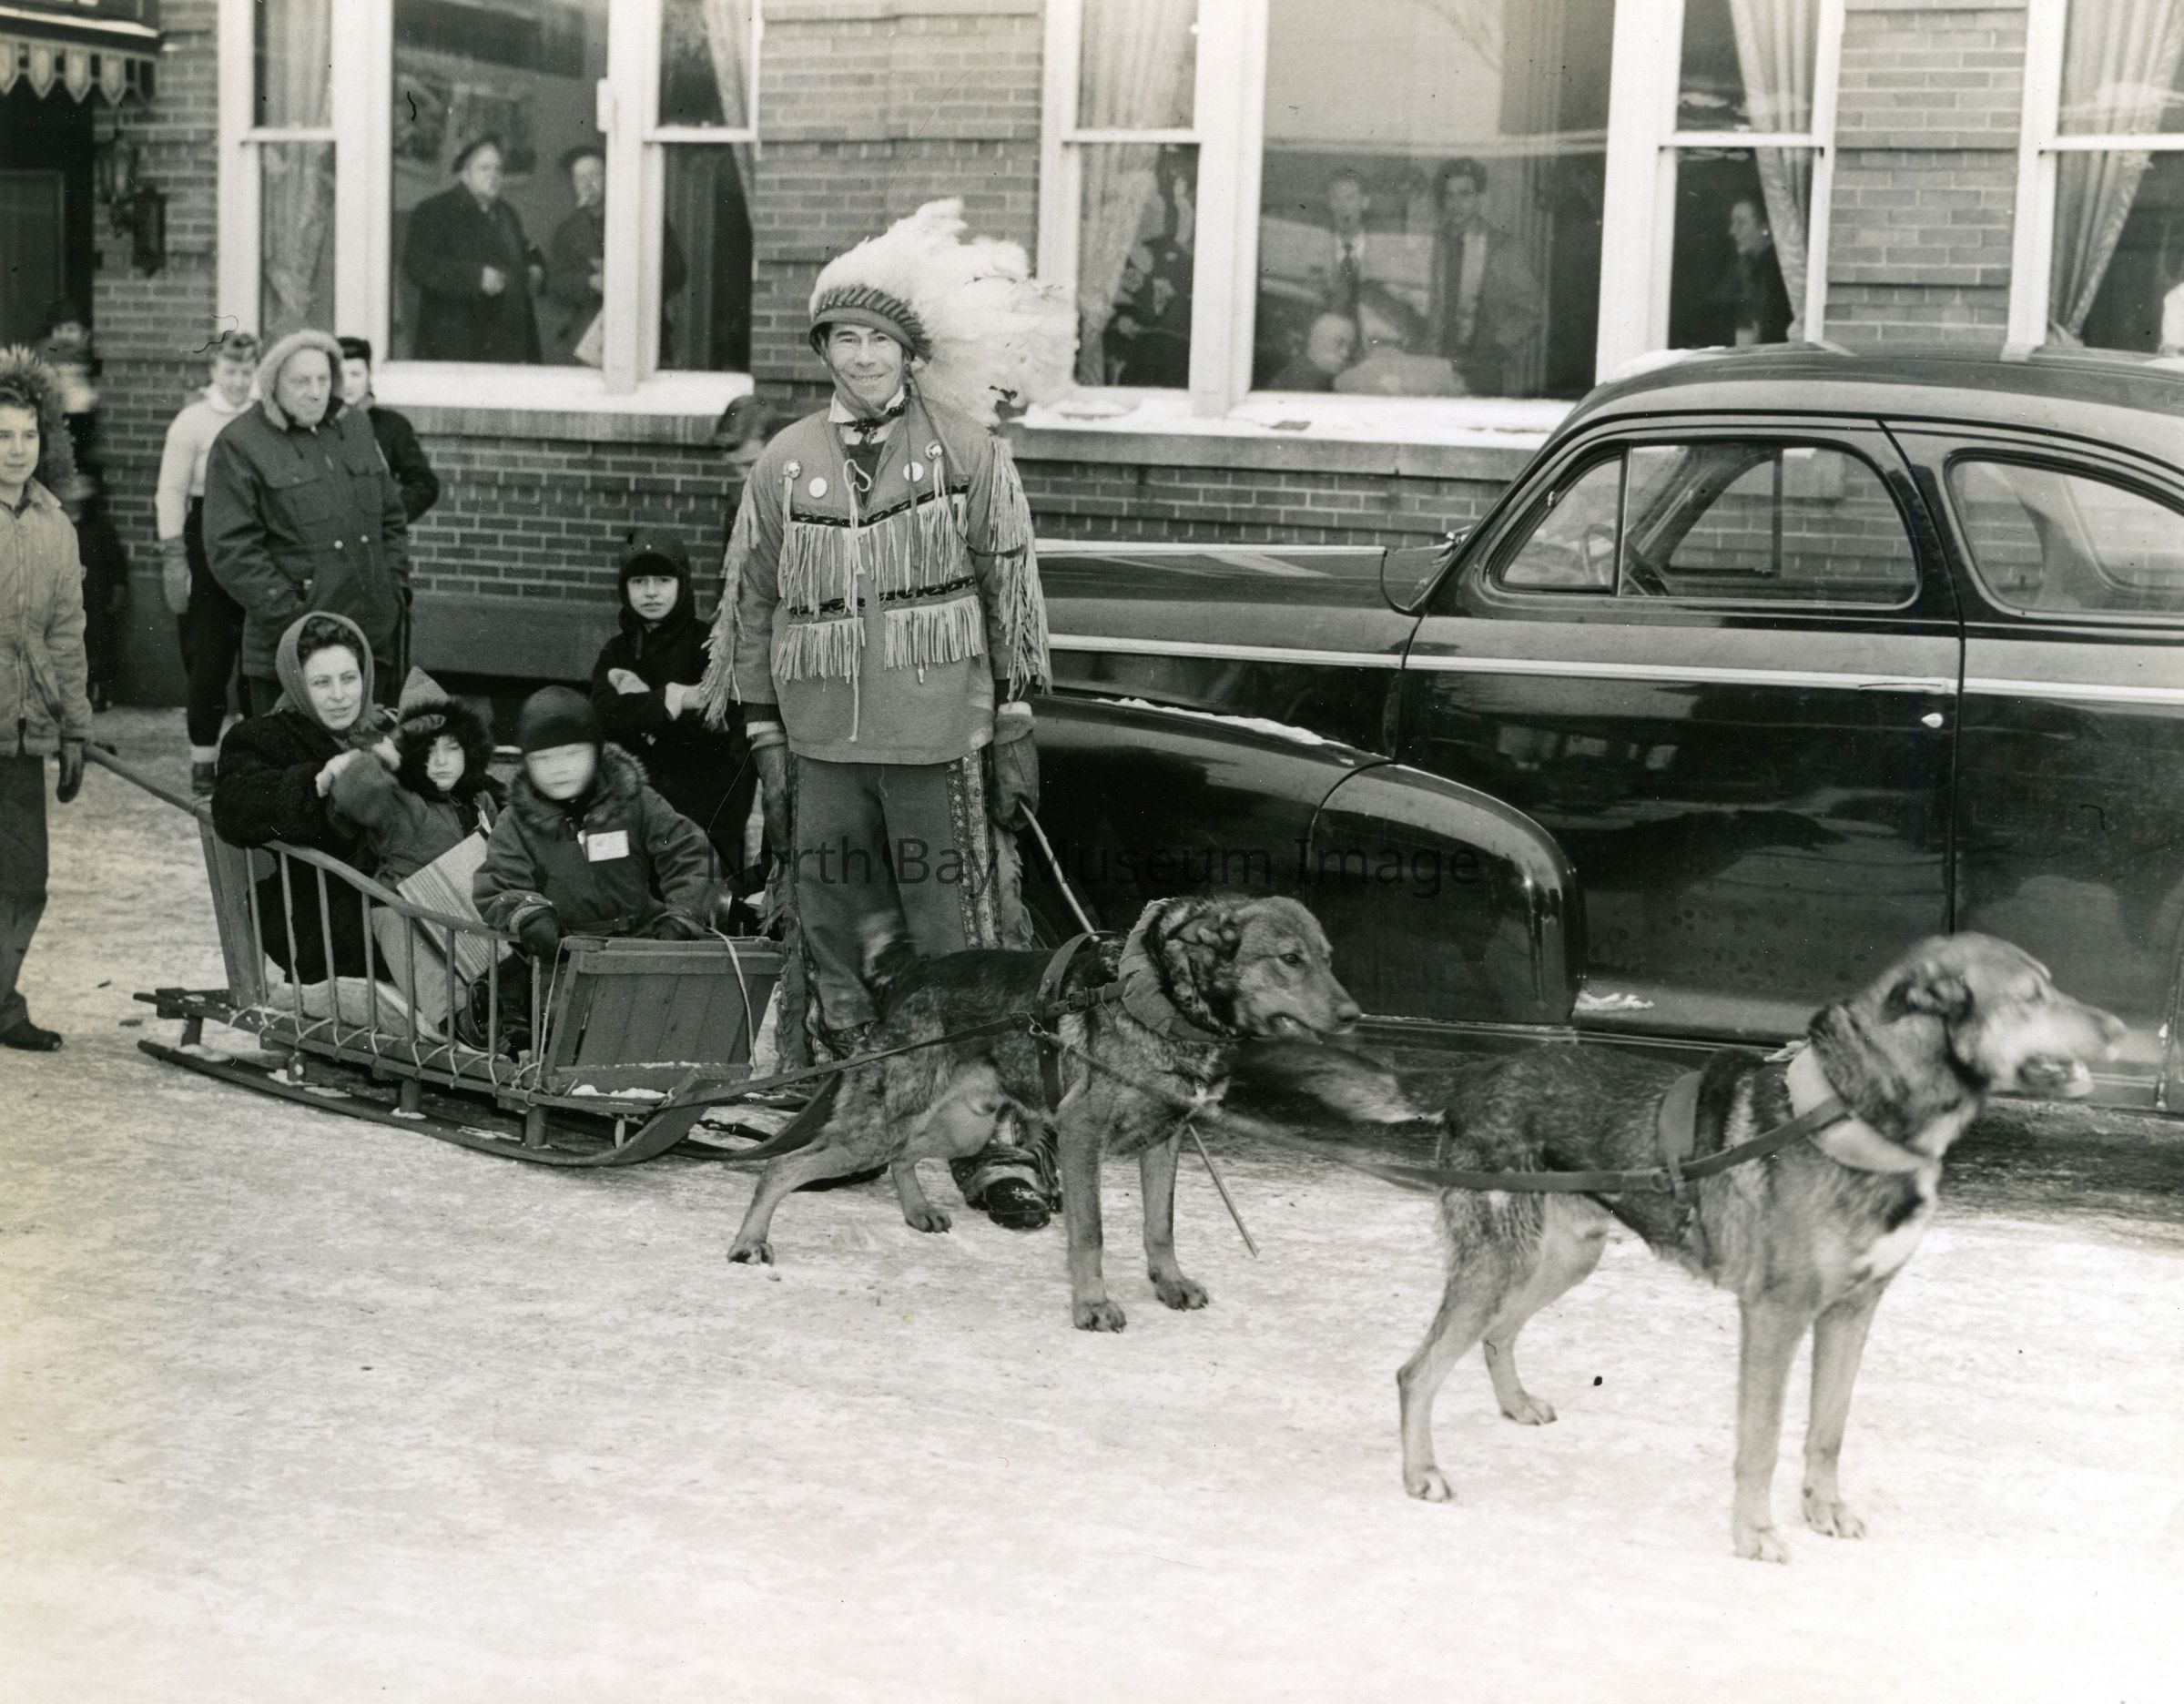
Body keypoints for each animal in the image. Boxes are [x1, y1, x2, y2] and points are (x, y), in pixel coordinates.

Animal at [724, 894, 1362, 1330]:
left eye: (1328, 959)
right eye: (1289, 959)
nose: (1354, 1016)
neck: (1161, 998)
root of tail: (908, 977)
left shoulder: (1165, 1141)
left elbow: (1160, 1228)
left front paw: (1170, 1285)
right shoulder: (1082, 1138)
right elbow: (1092, 1235)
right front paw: (1093, 1305)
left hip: (960, 1128)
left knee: (905, 1157)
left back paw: (918, 1211)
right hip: (878, 1129)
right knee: (781, 1166)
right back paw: (749, 1243)